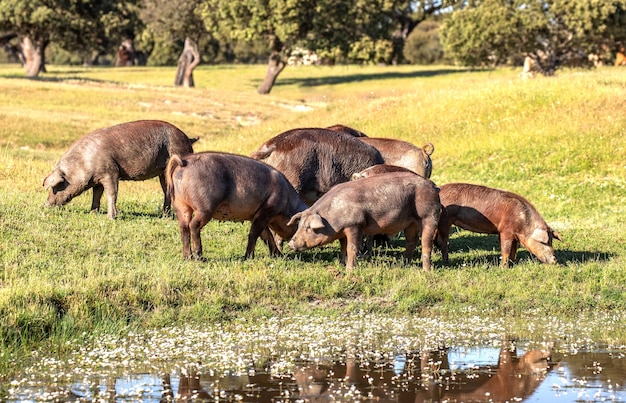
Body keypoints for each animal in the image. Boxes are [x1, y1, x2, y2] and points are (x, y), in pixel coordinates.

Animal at [43, 120, 197, 219]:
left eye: (57, 185)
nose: (46, 204)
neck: (84, 162)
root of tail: (187, 138)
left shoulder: (110, 172)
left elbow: (112, 193)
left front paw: (111, 218)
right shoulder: (98, 178)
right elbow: (97, 194)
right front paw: (93, 213)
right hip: (163, 172)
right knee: (167, 191)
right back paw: (164, 216)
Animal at [165, 152, 308, 262]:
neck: (287, 202)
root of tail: (184, 163)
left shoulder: (256, 215)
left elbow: (266, 236)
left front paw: (279, 256)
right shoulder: (266, 210)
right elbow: (254, 234)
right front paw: (248, 257)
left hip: (180, 205)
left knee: (183, 227)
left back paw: (187, 257)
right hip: (205, 207)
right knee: (193, 225)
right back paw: (200, 257)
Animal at [288, 171, 438, 272]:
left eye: (309, 227)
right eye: (299, 225)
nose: (290, 243)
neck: (332, 215)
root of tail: (433, 186)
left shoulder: (355, 225)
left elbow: (352, 247)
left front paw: (349, 270)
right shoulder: (342, 230)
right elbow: (343, 246)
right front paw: (342, 263)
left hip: (429, 215)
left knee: (426, 243)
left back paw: (426, 271)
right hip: (410, 223)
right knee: (411, 241)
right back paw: (404, 265)